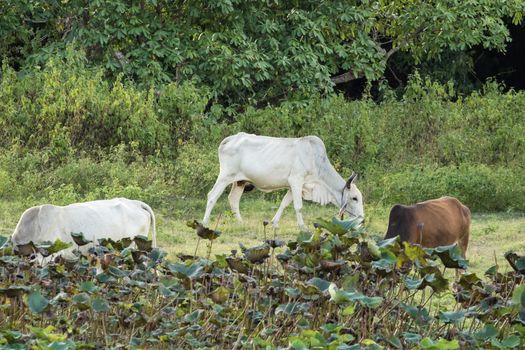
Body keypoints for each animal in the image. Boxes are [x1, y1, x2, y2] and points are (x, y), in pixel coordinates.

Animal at [202, 132, 364, 230]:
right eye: (354, 198)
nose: (362, 219)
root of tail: (231, 138)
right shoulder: (296, 180)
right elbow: (298, 206)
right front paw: (302, 227)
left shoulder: (294, 186)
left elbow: (284, 204)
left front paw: (274, 223)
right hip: (225, 176)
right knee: (212, 196)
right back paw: (204, 223)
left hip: (240, 182)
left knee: (233, 199)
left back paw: (241, 223)